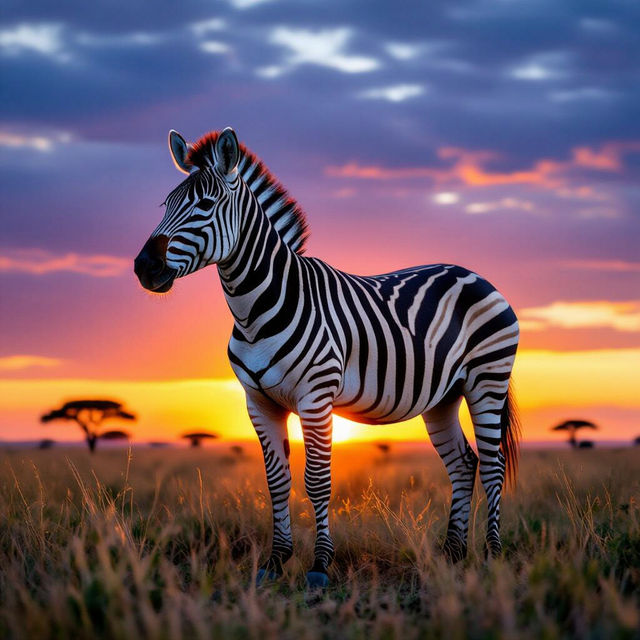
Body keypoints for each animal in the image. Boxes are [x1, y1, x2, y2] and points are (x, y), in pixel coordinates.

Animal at [134, 127, 521, 589]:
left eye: (205, 206)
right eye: (165, 205)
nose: (143, 266)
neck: (255, 310)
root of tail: (474, 274)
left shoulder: (315, 397)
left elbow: (317, 480)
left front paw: (319, 566)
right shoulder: (257, 401)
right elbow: (276, 481)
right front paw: (275, 561)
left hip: (487, 380)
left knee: (494, 464)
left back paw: (492, 555)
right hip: (443, 397)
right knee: (464, 463)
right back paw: (451, 554)